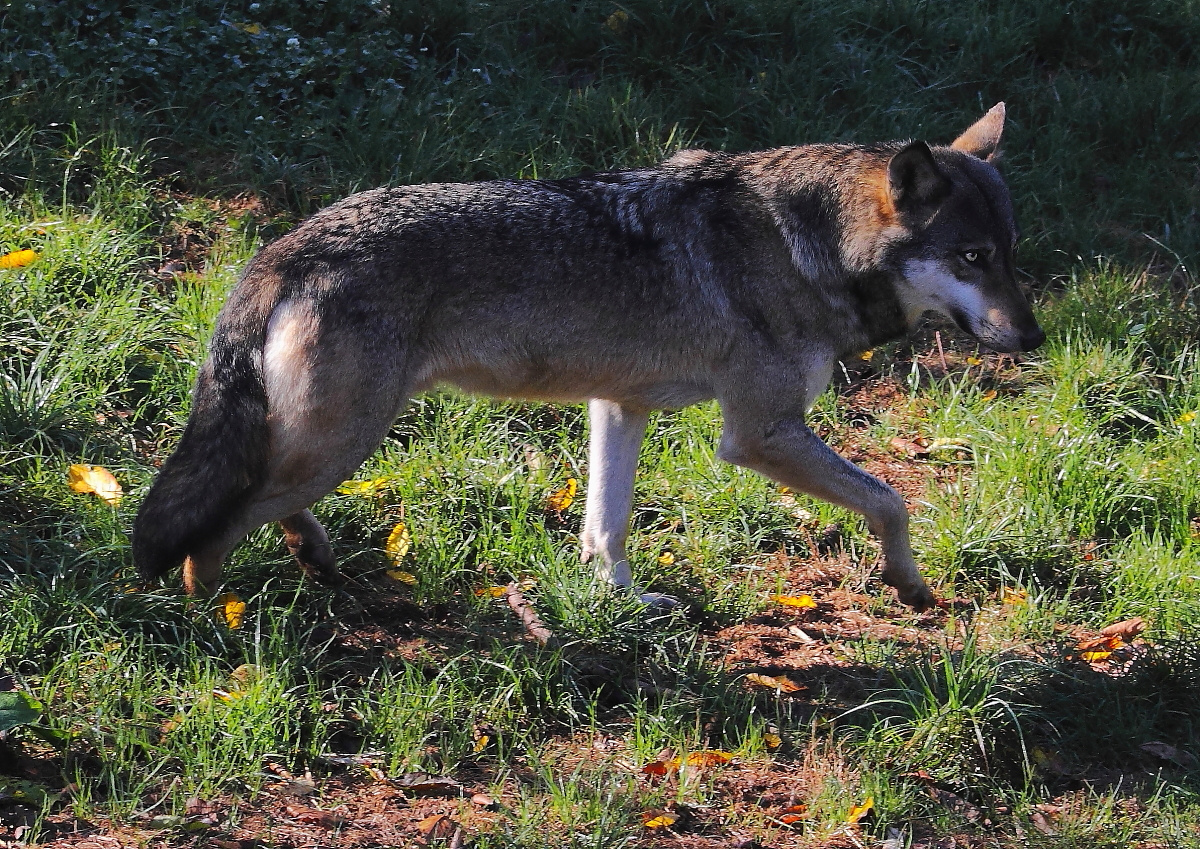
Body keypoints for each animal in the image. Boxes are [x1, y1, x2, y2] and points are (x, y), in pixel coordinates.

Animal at [133, 106, 1041, 609]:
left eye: (1009, 253)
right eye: (971, 259)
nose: (1033, 338)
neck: (809, 243)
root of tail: (287, 244)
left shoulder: (619, 405)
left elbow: (607, 527)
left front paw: (626, 602)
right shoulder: (759, 434)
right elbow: (892, 501)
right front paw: (910, 583)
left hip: (330, 441)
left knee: (258, 499)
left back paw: (313, 562)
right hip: (344, 440)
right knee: (213, 530)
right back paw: (226, 623)